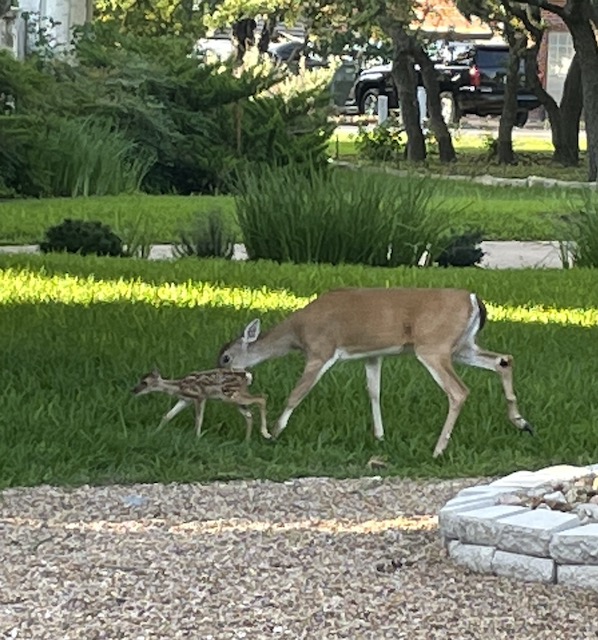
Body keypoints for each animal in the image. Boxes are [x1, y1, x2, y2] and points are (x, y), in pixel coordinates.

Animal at [131, 368, 269, 442]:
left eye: (144, 382)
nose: (133, 390)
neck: (179, 387)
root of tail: (247, 376)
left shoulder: (200, 396)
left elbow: (199, 419)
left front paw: (197, 437)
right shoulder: (185, 400)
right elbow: (168, 415)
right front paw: (155, 433)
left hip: (232, 396)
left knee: (262, 398)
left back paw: (265, 433)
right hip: (233, 398)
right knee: (249, 415)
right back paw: (247, 441)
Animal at [217, 287, 533, 457]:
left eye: (226, 357)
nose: (221, 379)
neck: (297, 333)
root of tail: (474, 299)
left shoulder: (321, 351)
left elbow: (297, 393)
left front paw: (274, 432)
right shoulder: (373, 355)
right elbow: (373, 391)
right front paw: (380, 436)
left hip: (433, 346)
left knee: (459, 391)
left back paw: (438, 449)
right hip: (462, 346)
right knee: (504, 360)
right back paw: (522, 422)